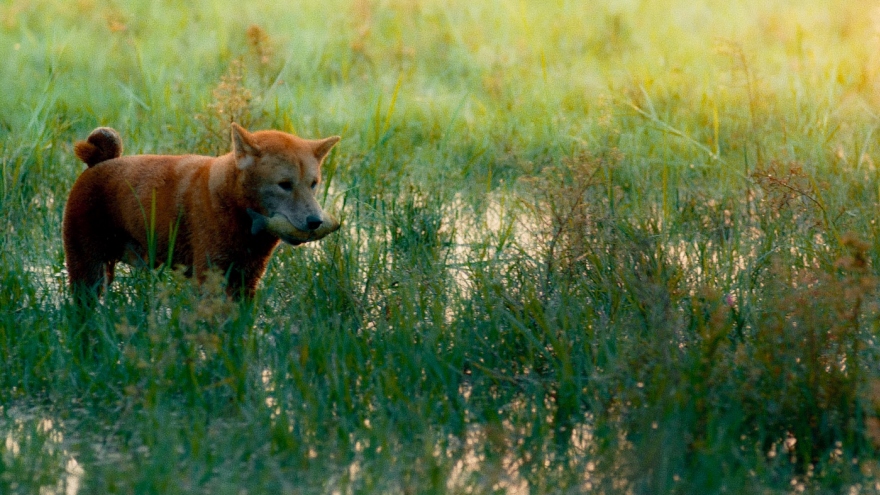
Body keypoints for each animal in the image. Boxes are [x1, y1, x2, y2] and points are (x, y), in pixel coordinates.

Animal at [62, 124, 342, 302]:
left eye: (313, 183)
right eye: (284, 184)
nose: (315, 221)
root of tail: (98, 164)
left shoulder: (247, 279)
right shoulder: (210, 276)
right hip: (88, 271)